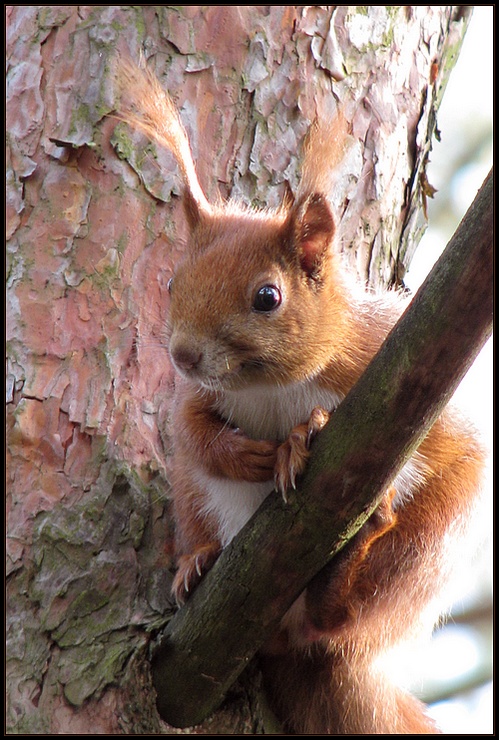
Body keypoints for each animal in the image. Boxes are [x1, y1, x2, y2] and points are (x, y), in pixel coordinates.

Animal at [116, 59, 484, 736]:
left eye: (268, 297)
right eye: (175, 282)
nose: (183, 355)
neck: (268, 387)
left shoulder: (381, 364)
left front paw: (301, 437)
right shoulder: (194, 398)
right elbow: (193, 434)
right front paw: (249, 456)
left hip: (430, 544)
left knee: (341, 619)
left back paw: (347, 571)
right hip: (190, 496)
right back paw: (197, 561)